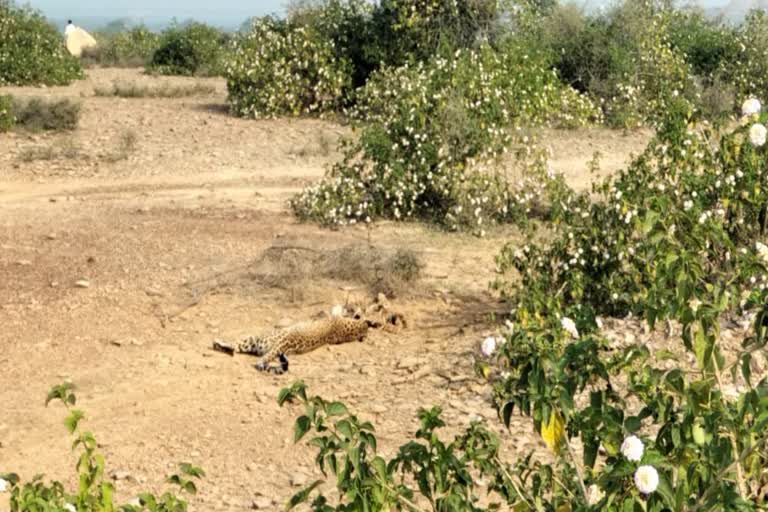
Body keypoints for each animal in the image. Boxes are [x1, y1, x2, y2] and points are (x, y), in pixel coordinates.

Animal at [210, 300, 402, 376]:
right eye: (353, 306)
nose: (351, 306)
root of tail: (280, 347)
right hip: (257, 343)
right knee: (235, 347)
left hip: (259, 339)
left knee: (236, 345)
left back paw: (217, 342)